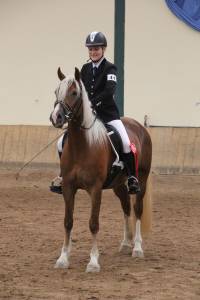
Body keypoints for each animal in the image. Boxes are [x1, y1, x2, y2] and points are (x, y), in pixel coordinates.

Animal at [49, 67, 152, 274]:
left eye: (74, 93)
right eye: (56, 92)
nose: (56, 117)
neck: (82, 145)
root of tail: (139, 126)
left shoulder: (95, 189)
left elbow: (93, 223)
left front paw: (93, 262)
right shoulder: (68, 188)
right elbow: (68, 221)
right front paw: (63, 258)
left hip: (142, 180)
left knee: (137, 209)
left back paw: (137, 247)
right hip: (119, 185)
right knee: (126, 207)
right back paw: (126, 244)